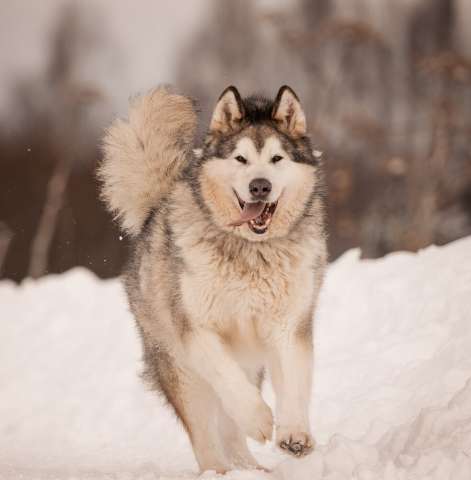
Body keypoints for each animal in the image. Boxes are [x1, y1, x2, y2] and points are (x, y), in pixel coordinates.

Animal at [98, 85, 328, 472]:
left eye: (277, 159)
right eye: (240, 159)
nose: (260, 186)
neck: (250, 251)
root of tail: (153, 214)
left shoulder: (289, 325)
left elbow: (294, 383)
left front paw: (294, 434)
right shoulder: (196, 330)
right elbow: (227, 378)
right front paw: (259, 419)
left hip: (249, 362)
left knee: (231, 430)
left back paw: (252, 470)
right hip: (181, 371)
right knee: (206, 436)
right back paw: (220, 471)